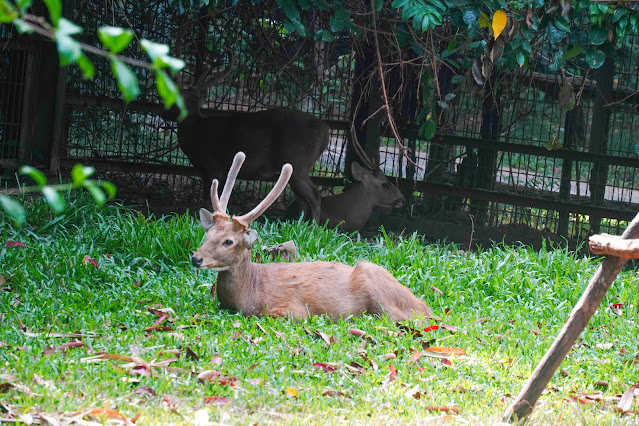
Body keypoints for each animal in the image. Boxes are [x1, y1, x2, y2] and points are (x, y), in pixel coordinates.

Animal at [165, 50, 330, 221]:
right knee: (303, 199)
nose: (164, 112)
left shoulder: (213, 166)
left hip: (297, 162)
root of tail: (326, 132)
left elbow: (209, 200)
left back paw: (314, 226)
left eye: (173, 100)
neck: (195, 131)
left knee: (315, 196)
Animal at [191, 151, 440, 322]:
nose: (196, 258)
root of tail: (426, 308)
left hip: (380, 294)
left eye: (229, 241)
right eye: (207, 234)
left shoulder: (294, 311)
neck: (249, 295)